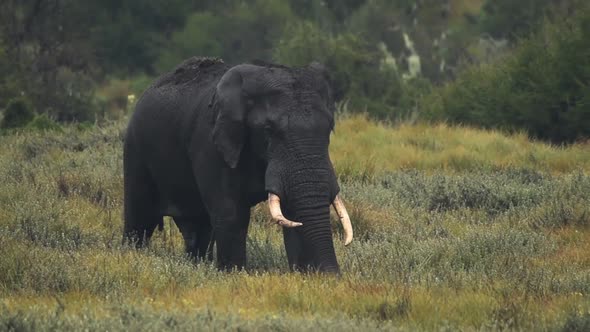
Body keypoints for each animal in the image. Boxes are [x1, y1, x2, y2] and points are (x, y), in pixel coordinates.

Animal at [123, 57, 354, 274]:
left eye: (329, 128)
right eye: (268, 129)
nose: (334, 275)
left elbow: (292, 211)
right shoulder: (211, 142)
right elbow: (231, 212)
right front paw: (234, 273)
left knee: (197, 227)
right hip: (135, 148)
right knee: (139, 219)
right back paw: (132, 257)